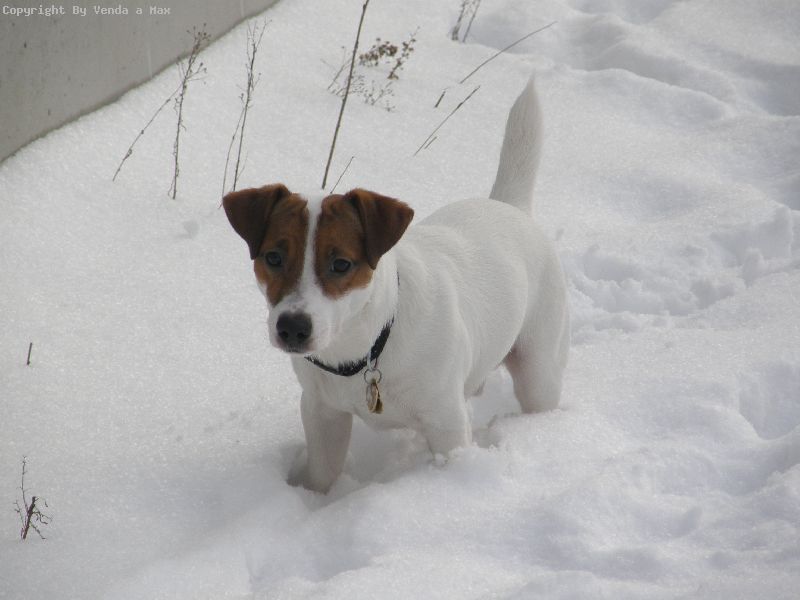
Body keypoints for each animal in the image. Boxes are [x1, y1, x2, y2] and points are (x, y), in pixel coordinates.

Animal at [223, 79, 569, 493]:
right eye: (273, 257)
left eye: (341, 264)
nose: (291, 327)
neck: (364, 348)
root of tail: (509, 205)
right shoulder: (323, 414)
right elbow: (323, 471)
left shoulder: (446, 424)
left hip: (539, 365)